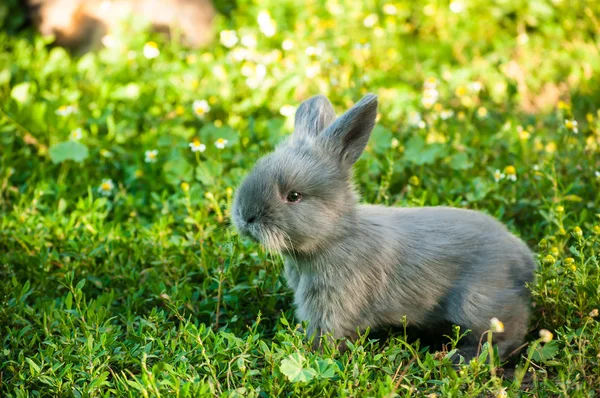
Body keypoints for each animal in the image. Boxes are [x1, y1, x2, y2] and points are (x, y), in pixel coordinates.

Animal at [232, 93, 536, 360]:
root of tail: (526, 262)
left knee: (509, 333)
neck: (337, 236)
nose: (245, 216)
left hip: (476, 304)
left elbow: (325, 336)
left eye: (294, 196)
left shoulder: (332, 303)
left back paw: (461, 358)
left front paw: (308, 354)